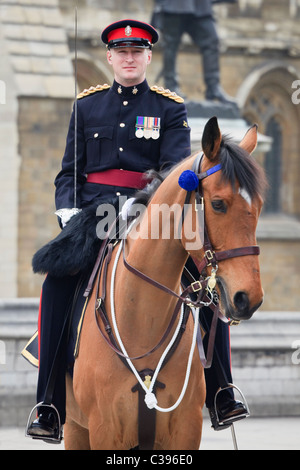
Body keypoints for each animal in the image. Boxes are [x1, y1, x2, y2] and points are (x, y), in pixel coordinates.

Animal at [64, 115, 266, 450]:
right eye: (218, 204)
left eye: (260, 205)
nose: (248, 297)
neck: (143, 318)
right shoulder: (104, 430)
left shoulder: (186, 428)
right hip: (75, 429)